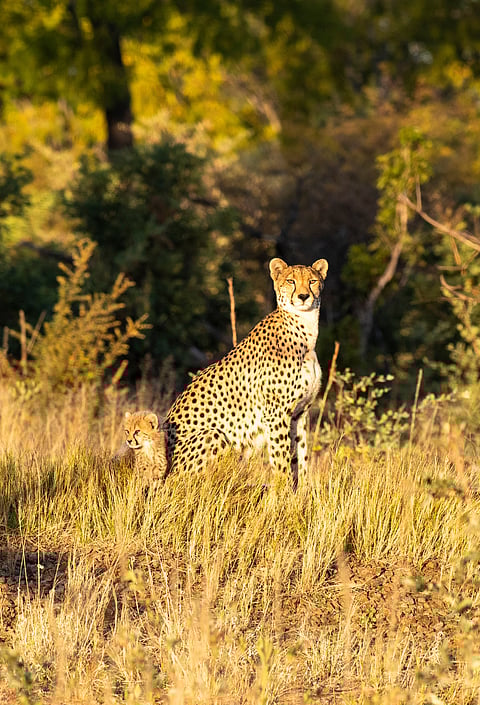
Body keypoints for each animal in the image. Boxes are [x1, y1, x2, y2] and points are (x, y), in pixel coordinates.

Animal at [165, 257, 328, 488]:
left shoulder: (299, 412)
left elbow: (301, 456)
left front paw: (303, 490)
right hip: (212, 436)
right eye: (291, 281)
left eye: (313, 281)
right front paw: (283, 490)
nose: (304, 296)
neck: (305, 331)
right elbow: (281, 459)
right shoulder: (276, 413)